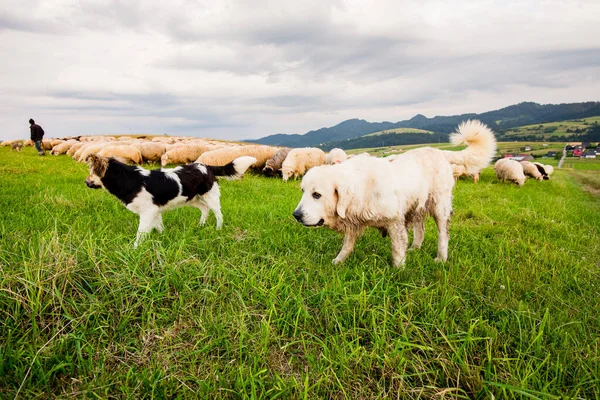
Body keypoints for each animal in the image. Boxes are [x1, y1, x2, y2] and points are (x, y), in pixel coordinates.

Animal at [84, 153, 255, 247]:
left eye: (91, 173)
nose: (85, 182)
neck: (127, 179)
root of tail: (206, 166)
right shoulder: (155, 211)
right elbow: (159, 227)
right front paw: (163, 239)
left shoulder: (148, 212)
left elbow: (140, 234)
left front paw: (134, 249)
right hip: (193, 198)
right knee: (204, 209)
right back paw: (200, 225)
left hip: (210, 196)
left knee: (218, 213)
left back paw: (218, 229)